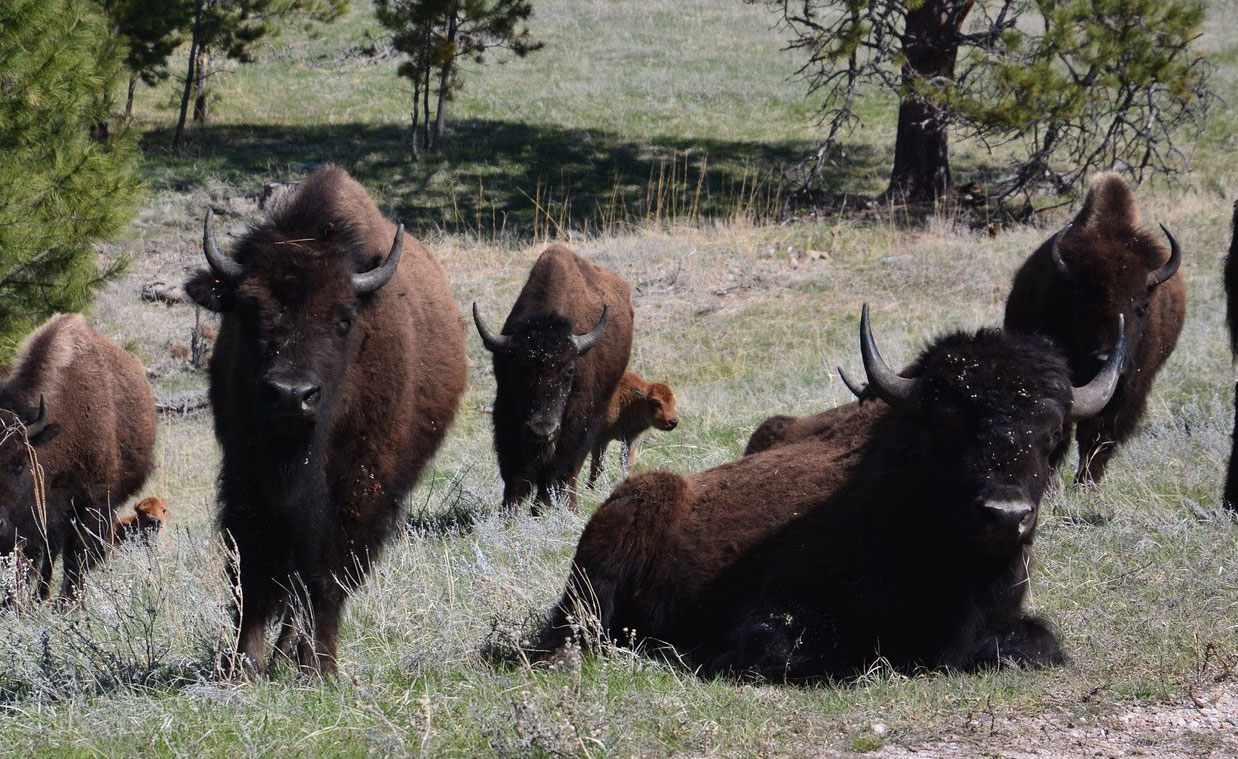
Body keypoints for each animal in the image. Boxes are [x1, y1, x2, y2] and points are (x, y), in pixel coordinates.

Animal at [184, 165, 467, 673]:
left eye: (344, 318)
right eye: (248, 311)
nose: (291, 396)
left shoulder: (357, 487)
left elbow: (327, 576)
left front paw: (321, 666)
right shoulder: (245, 476)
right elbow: (254, 569)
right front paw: (245, 664)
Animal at [470, 245, 633, 512]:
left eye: (569, 369)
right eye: (518, 369)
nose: (542, 429)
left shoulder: (577, 419)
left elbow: (559, 470)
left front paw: (544, 509)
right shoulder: (506, 411)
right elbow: (514, 473)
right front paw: (509, 513)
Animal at [1000, 172, 1183, 482]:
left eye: (1143, 306)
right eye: (1081, 303)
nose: (1106, 359)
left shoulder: (1128, 392)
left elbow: (1098, 438)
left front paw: (1086, 483)